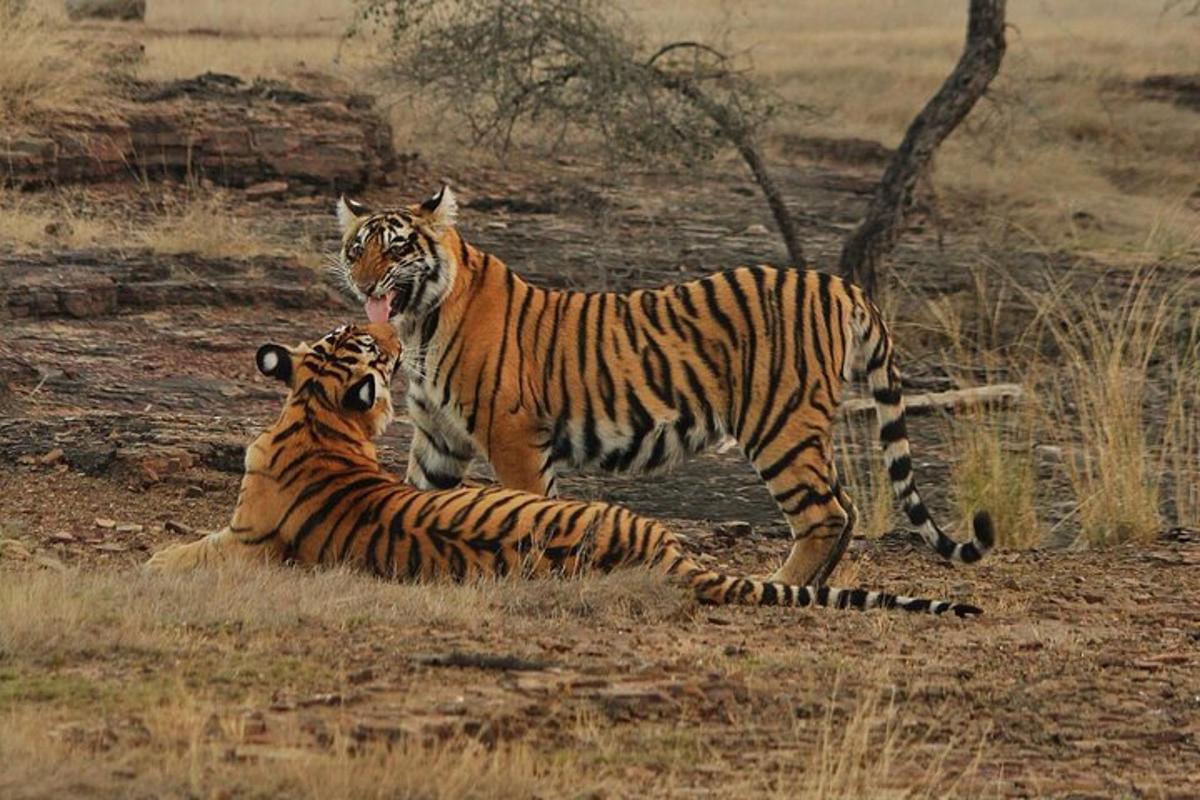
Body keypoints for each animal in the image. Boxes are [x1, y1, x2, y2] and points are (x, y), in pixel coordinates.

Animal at [145, 326, 979, 618]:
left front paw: (150, 561)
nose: (391, 341)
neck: (318, 418)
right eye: (357, 339)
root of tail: (668, 551)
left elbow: (183, 552)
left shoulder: (244, 541)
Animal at [336, 188, 993, 587]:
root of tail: (841, 285)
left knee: (826, 512)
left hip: (779, 423)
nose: (363, 284)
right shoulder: (439, 438)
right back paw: (809, 588)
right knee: (847, 507)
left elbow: (529, 509)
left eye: (397, 248)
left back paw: (780, 587)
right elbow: (412, 500)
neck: (421, 322)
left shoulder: (514, 434)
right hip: (801, 427)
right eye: (356, 247)